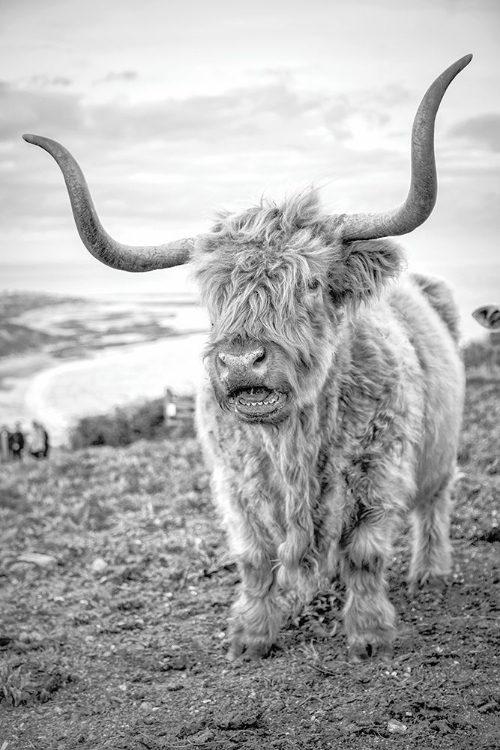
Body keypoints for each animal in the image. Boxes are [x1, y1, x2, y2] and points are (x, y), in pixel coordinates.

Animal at [23, 54, 471, 662]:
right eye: (214, 296)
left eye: (310, 282)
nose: (240, 362)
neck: (293, 447)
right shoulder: (235, 485)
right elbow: (255, 559)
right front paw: (251, 636)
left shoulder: (379, 470)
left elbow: (364, 553)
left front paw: (369, 634)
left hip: (440, 454)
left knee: (434, 506)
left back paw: (431, 572)